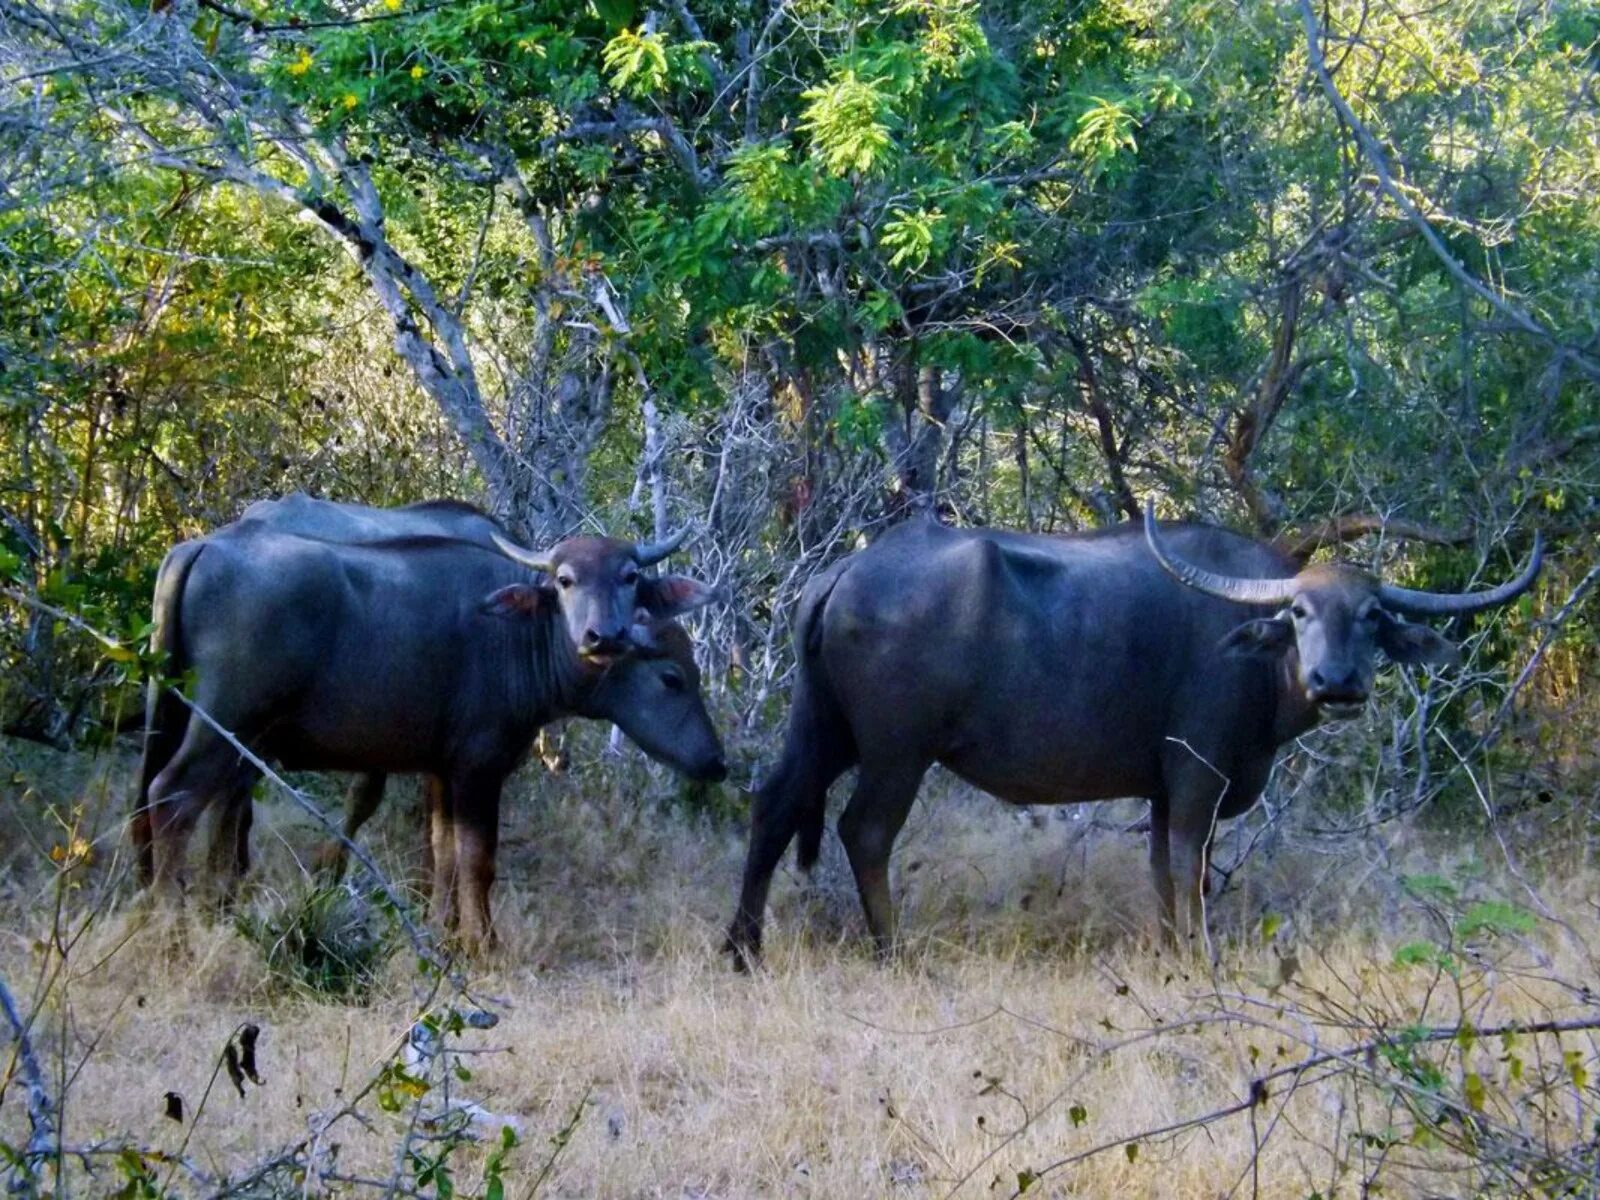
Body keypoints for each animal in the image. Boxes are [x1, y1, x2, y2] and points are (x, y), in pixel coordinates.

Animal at [136, 524, 726, 947]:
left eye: (628, 576)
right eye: (672, 678)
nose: (603, 636)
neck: (520, 637)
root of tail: (202, 545)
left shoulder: (441, 771)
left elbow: (444, 855)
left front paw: (444, 933)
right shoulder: (478, 769)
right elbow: (479, 860)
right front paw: (483, 944)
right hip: (224, 726)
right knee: (172, 797)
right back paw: (173, 935)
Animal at [726, 502, 1536, 966]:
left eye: (1370, 617)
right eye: (1300, 613)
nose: (1336, 682)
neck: (1257, 657)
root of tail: (851, 569)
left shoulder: (1161, 788)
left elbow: (1159, 871)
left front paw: (1170, 949)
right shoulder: (1199, 774)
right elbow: (1189, 864)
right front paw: (1200, 955)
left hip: (822, 728)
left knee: (774, 805)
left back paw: (744, 947)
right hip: (897, 751)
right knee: (863, 831)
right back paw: (893, 952)